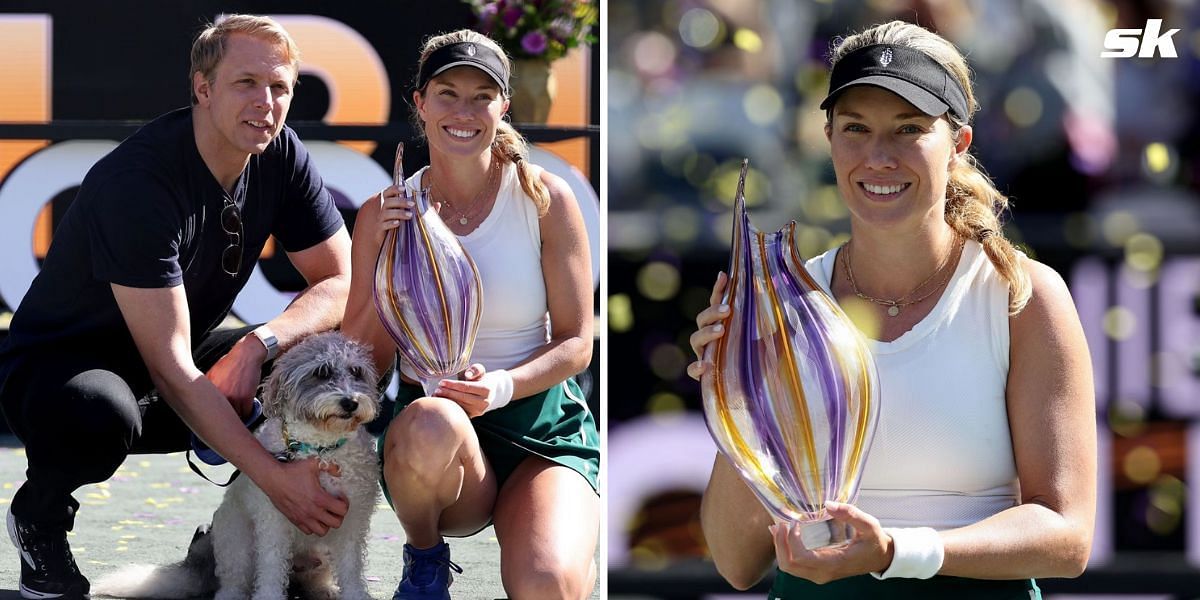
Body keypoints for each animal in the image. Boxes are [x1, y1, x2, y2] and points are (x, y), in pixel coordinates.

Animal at [95, 333, 381, 600]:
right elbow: (271, 566)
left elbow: (351, 566)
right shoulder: (275, 519)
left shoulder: (353, 521)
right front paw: (268, 597)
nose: (350, 402)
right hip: (238, 546)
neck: (321, 450)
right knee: (234, 583)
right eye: (321, 372)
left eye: (356, 372)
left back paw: (326, 590)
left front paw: (355, 595)